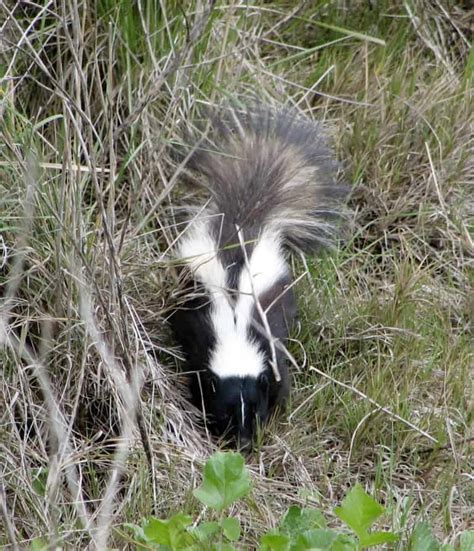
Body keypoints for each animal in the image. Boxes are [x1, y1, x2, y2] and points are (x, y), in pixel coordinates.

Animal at [169, 104, 348, 448]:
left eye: (254, 408)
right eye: (225, 411)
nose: (244, 443)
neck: (236, 330)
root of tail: (245, 218)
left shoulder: (269, 342)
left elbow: (281, 377)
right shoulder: (203, 336)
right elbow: (195, 373)